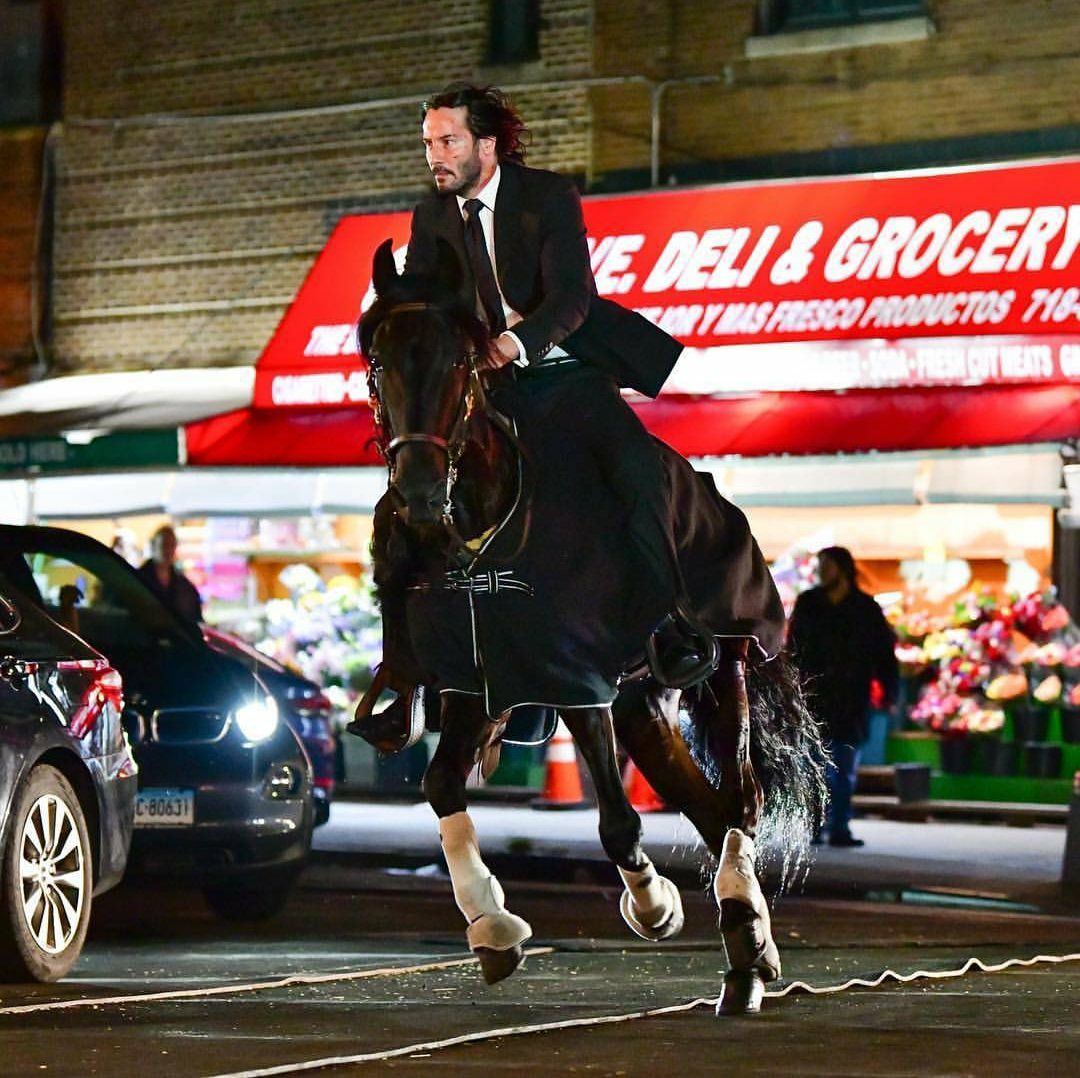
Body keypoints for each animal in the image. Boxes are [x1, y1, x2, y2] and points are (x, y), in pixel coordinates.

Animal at [358, 240, 820, 1015]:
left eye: (459, 363)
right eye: (378, 363)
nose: (418, 497)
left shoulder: (576, 679)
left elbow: (618, 820)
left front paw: (655, 905)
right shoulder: (478, 681)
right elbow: (442, 784)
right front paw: (492, 925)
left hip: (721, 662)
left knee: (741, 801)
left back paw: (744, 940)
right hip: (641, 702)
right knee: (708, 805)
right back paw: (747, 947)